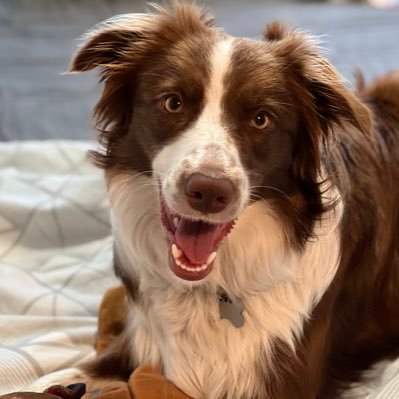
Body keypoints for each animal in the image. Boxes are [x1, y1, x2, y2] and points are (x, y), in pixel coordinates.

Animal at [30, 3, 399, 399]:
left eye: (261, 119)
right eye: (173, 102)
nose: (208, 191)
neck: (213, 286)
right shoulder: (141, 341)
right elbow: (54, 378)